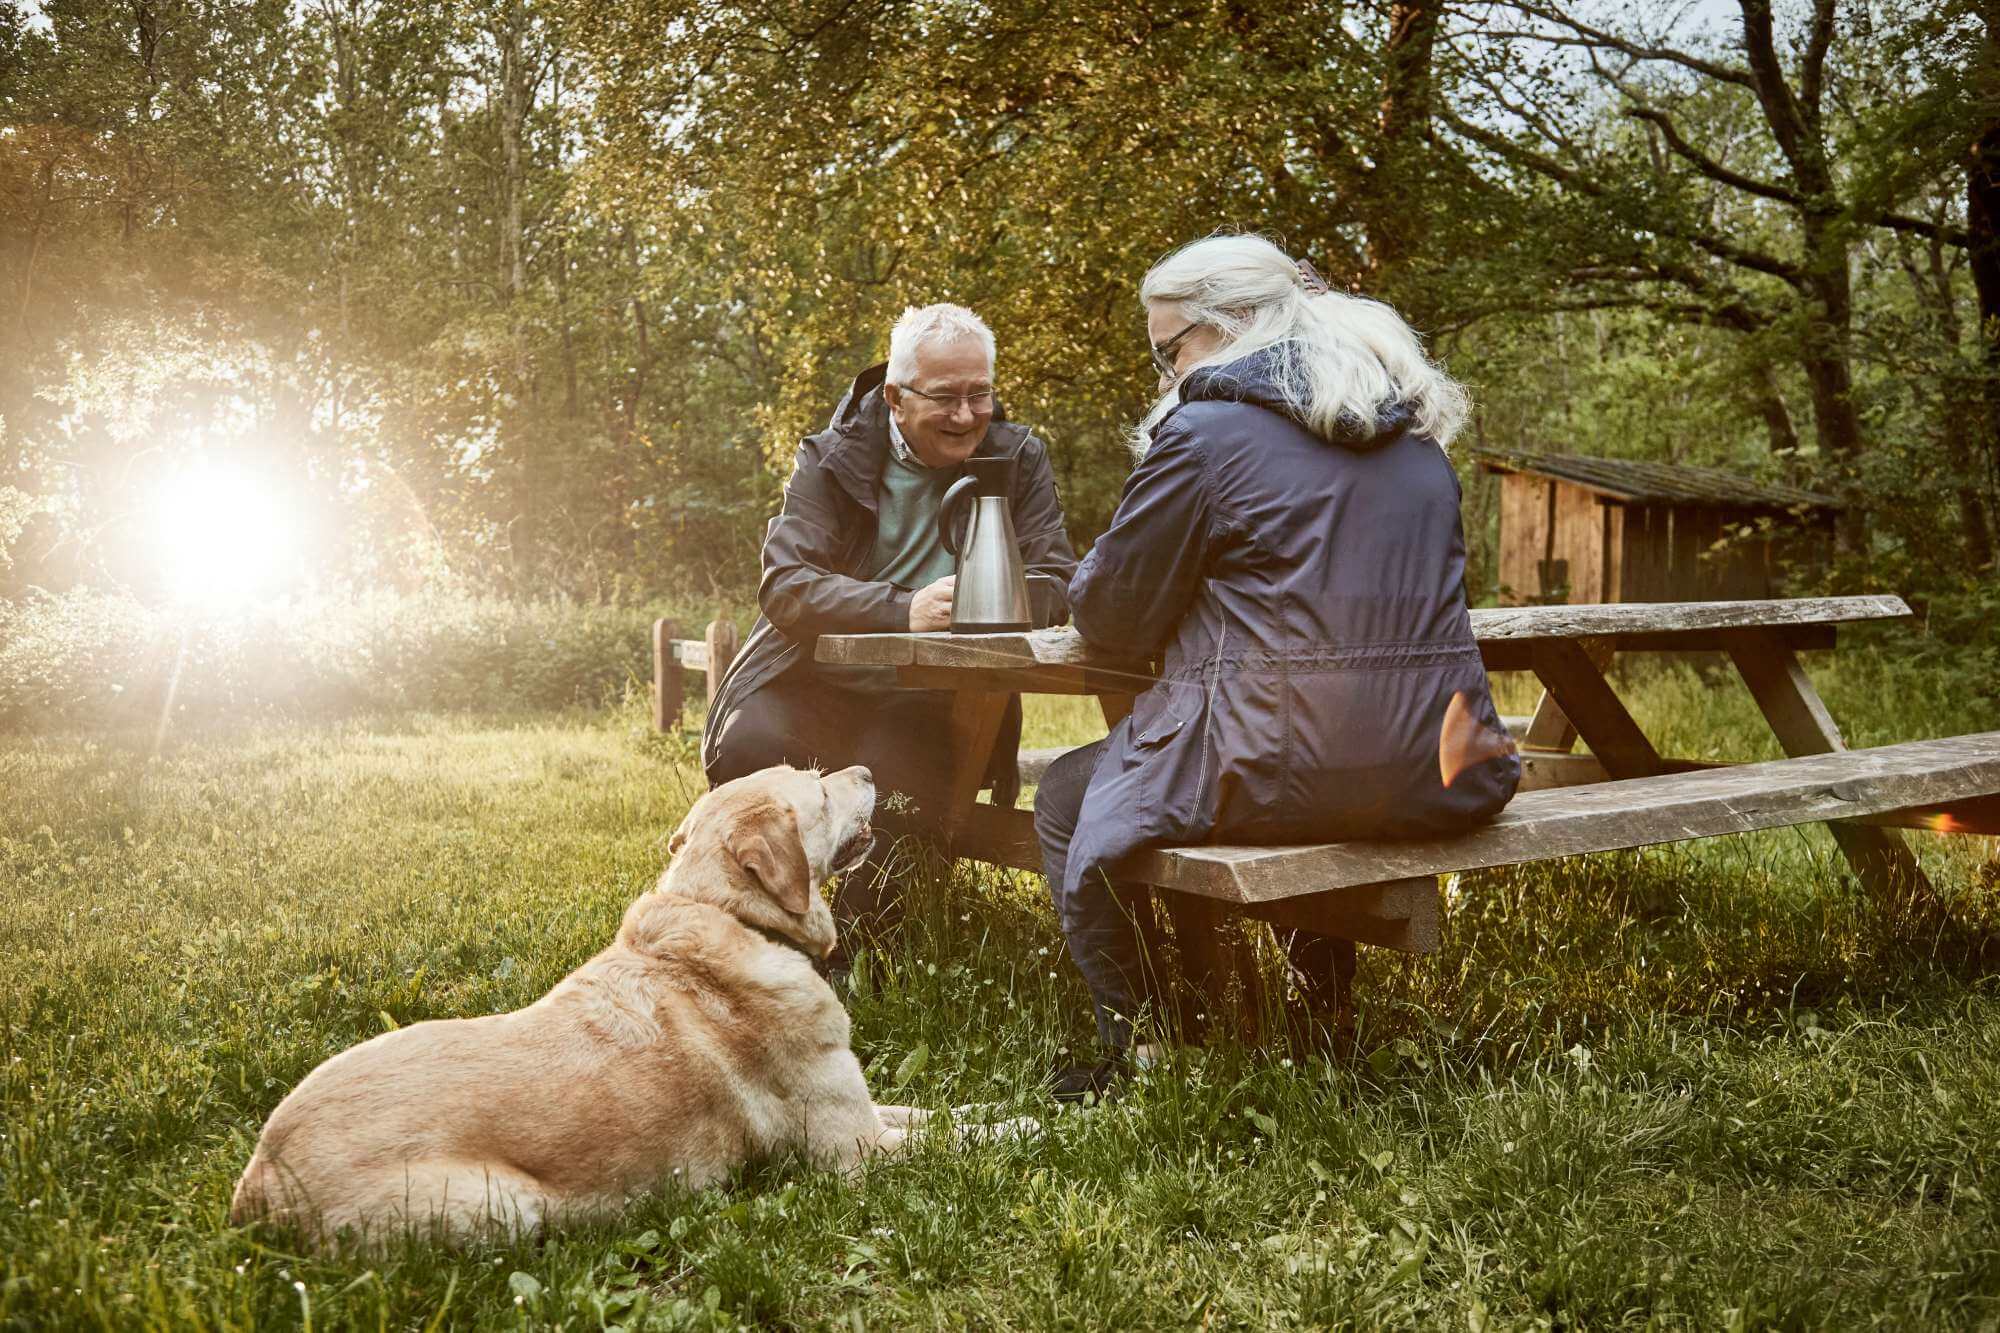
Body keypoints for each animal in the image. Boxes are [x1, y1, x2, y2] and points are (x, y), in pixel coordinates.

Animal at [230, 764, 996, 1240]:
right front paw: (1021, 1129)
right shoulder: (852, 1150)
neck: (729, 913)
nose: (867, 771)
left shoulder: (867, 1111)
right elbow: (960, 1138)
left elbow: (939, 1112)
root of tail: (260, 1179)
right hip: (506, 1203)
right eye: (818, 787)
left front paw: (1004, 1105)